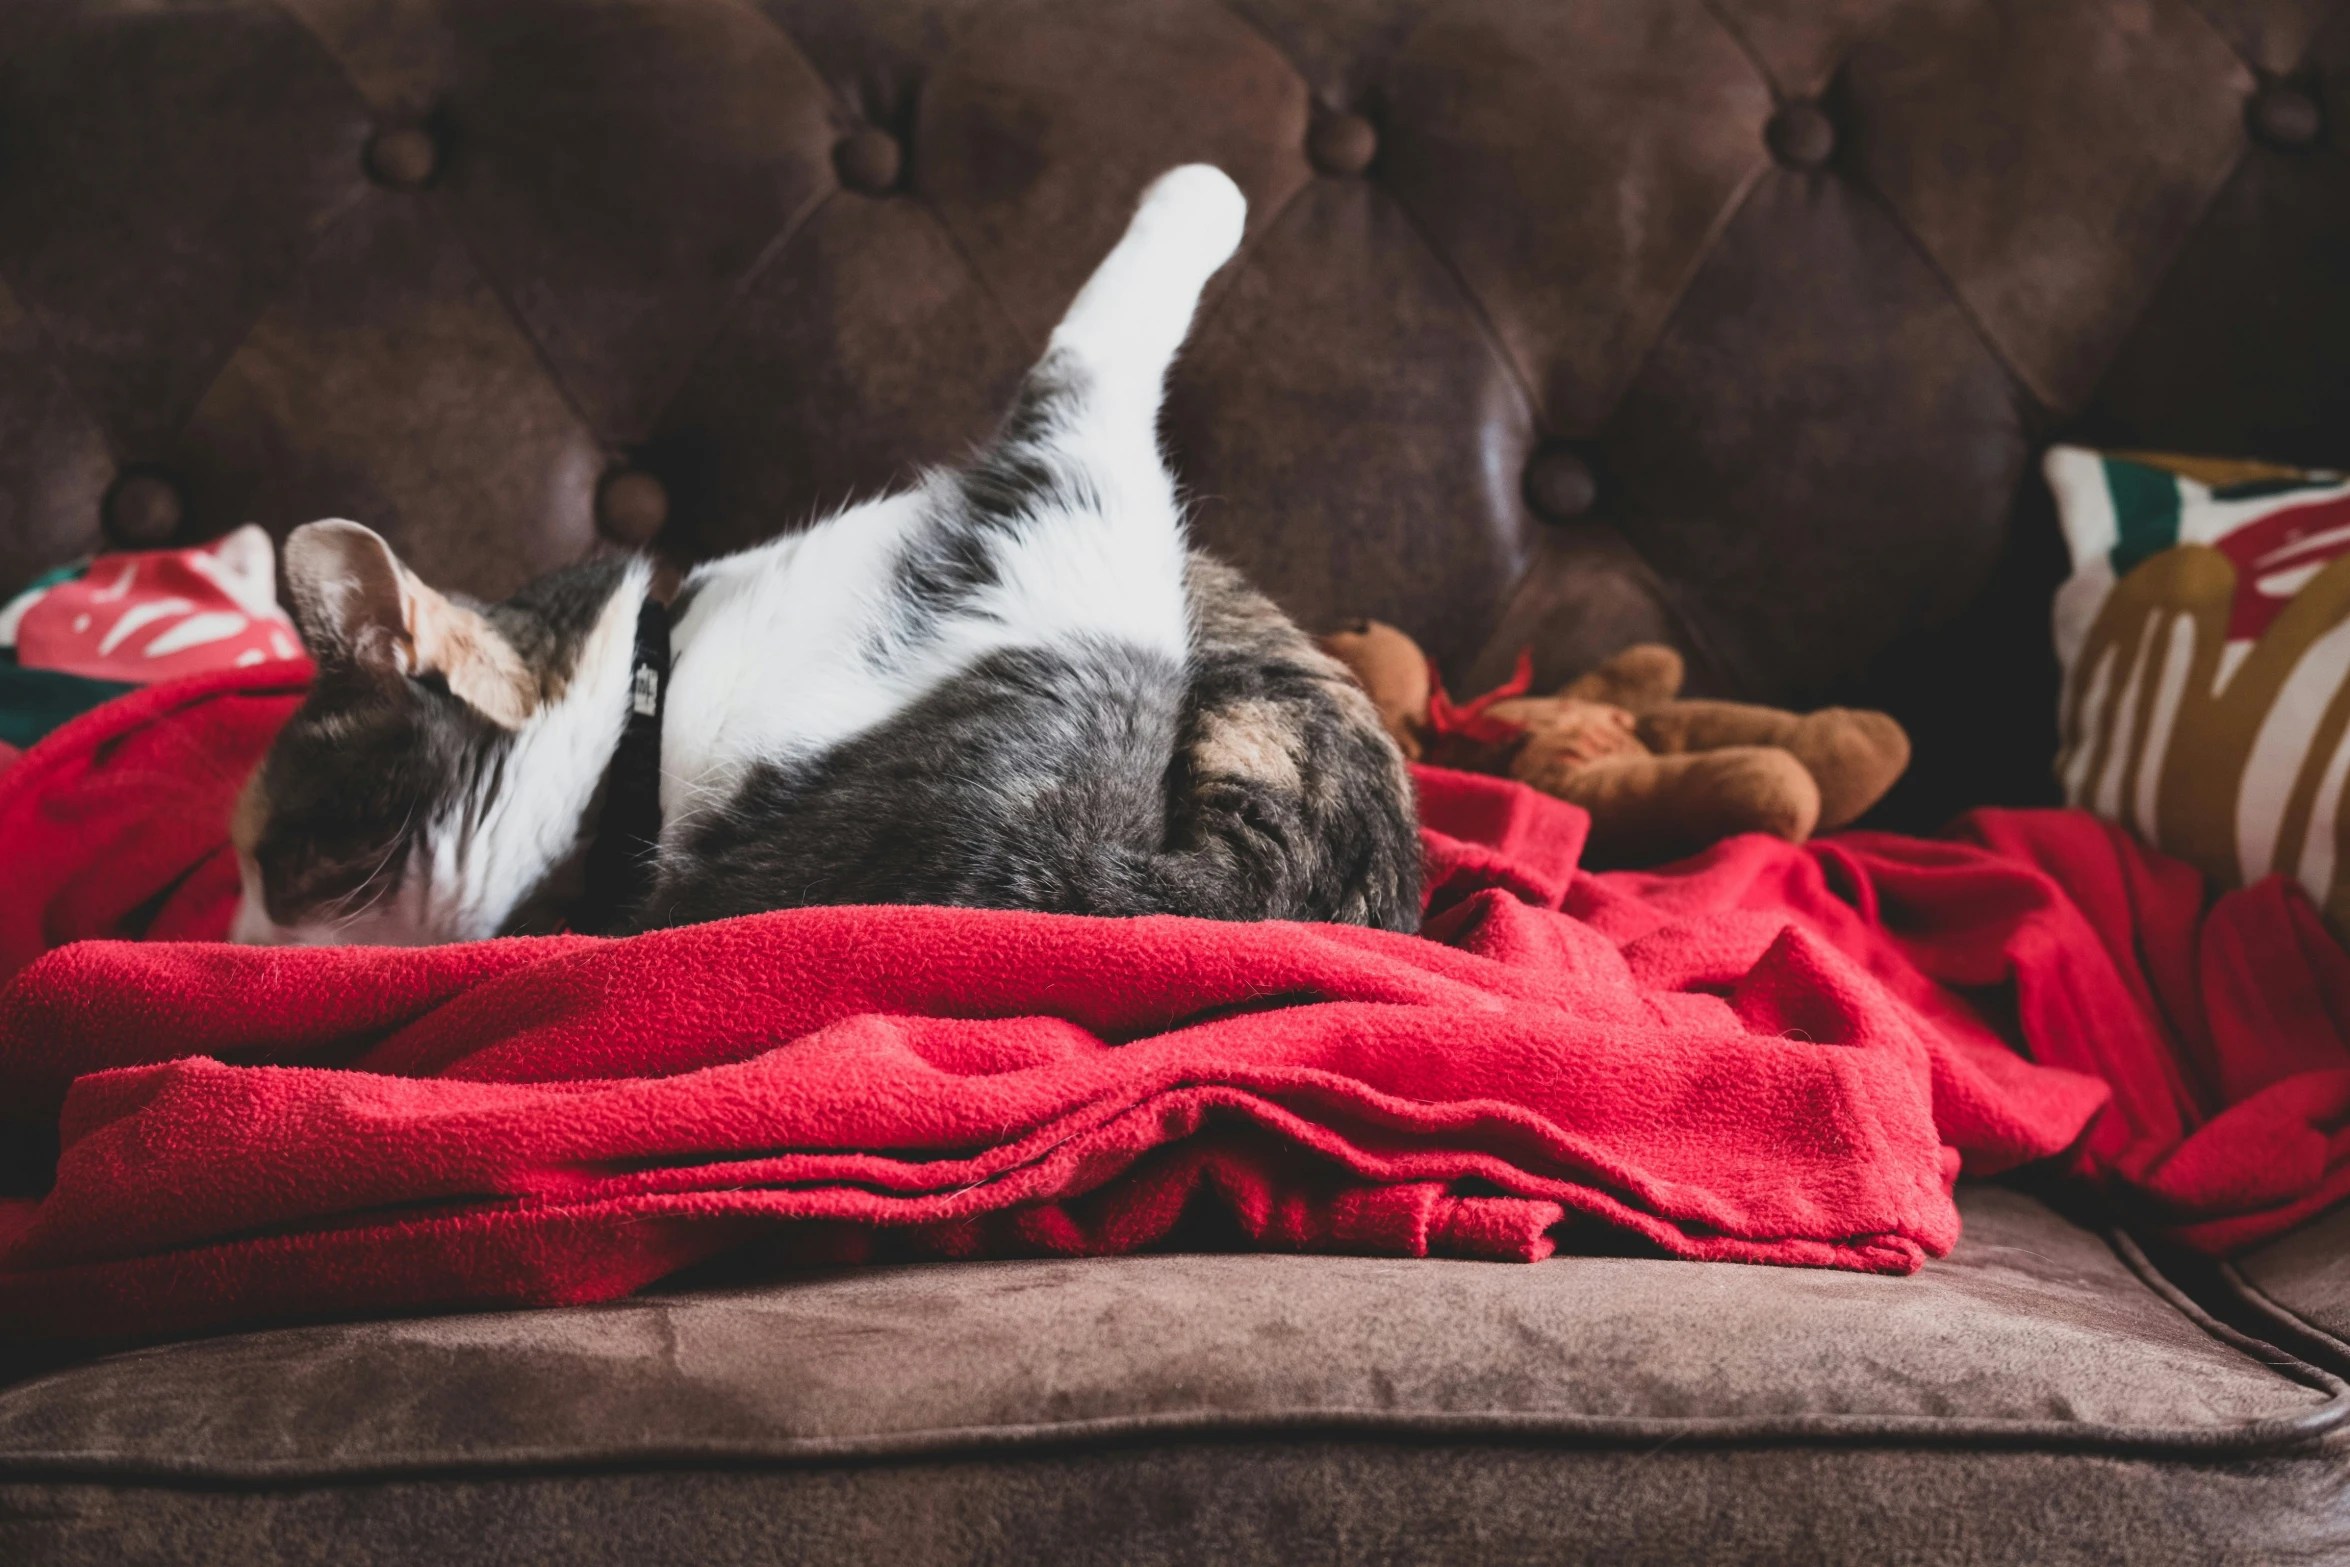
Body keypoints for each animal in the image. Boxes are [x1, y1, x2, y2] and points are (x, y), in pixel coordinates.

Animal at [229, 162, 1419, 944]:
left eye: (277, 863)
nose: (232, 949)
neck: (650, 717)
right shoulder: (1073, 520)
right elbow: (1085, 354)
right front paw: (1203, 191)